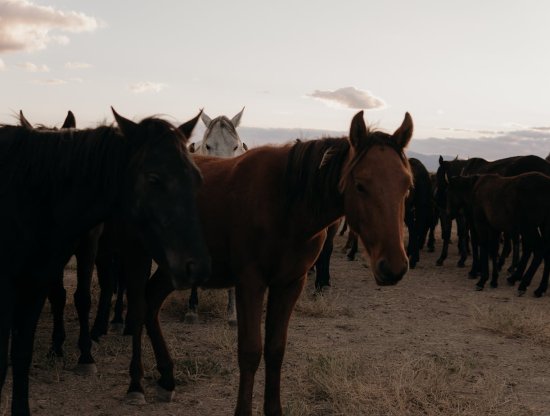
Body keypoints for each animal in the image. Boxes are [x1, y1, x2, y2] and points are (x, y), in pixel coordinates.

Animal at [0, 108, 211, 416]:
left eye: (197, 178)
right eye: (153, 179)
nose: (196, 264)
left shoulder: (84, 250)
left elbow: (85, 298)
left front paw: (86, 355)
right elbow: (60, 297)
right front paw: (59, 346)